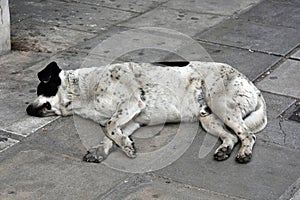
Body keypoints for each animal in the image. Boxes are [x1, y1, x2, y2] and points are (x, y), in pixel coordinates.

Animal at [26, 61, 268, 164]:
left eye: (40, 88)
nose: (26, 108)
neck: (83, 91)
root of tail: (252, 86)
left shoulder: (132, 103)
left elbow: (109, 127)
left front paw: (126, 147)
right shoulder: (132, 121)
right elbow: (110, 134)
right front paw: (105, 150)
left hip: (221, 106)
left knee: (248, 135)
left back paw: (244, 153)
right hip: (208, 118)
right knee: (231, 136)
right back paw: (224, 150)